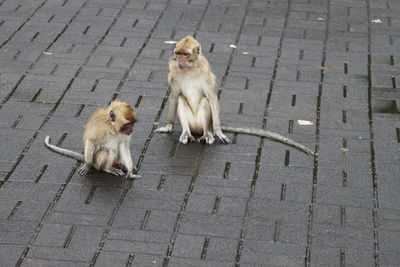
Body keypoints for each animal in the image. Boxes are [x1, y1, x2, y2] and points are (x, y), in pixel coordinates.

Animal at [156, 36, 316, 156]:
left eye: (185, 54)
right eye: (178, 53)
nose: (179, 60)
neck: (190, 68)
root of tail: (197, 130)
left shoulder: (205, 69)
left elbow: (212, 97)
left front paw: (218, 131)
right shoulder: (174, 69)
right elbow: (174, 95)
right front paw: (168, 126)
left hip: (204, 124)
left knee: (205, 101)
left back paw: (208, 133)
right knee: (181, 99)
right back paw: (186, 133)